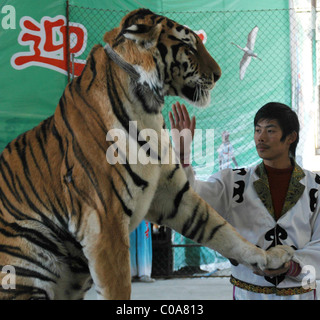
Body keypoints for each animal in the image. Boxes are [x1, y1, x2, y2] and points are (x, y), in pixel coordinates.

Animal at [0, 9, 294, 300]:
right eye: (189, 46)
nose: (219, 74)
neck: (148, 107)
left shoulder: (172, 194)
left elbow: (221, 229)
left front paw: (268, 257)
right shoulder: (105, 221)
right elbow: (117, 286)